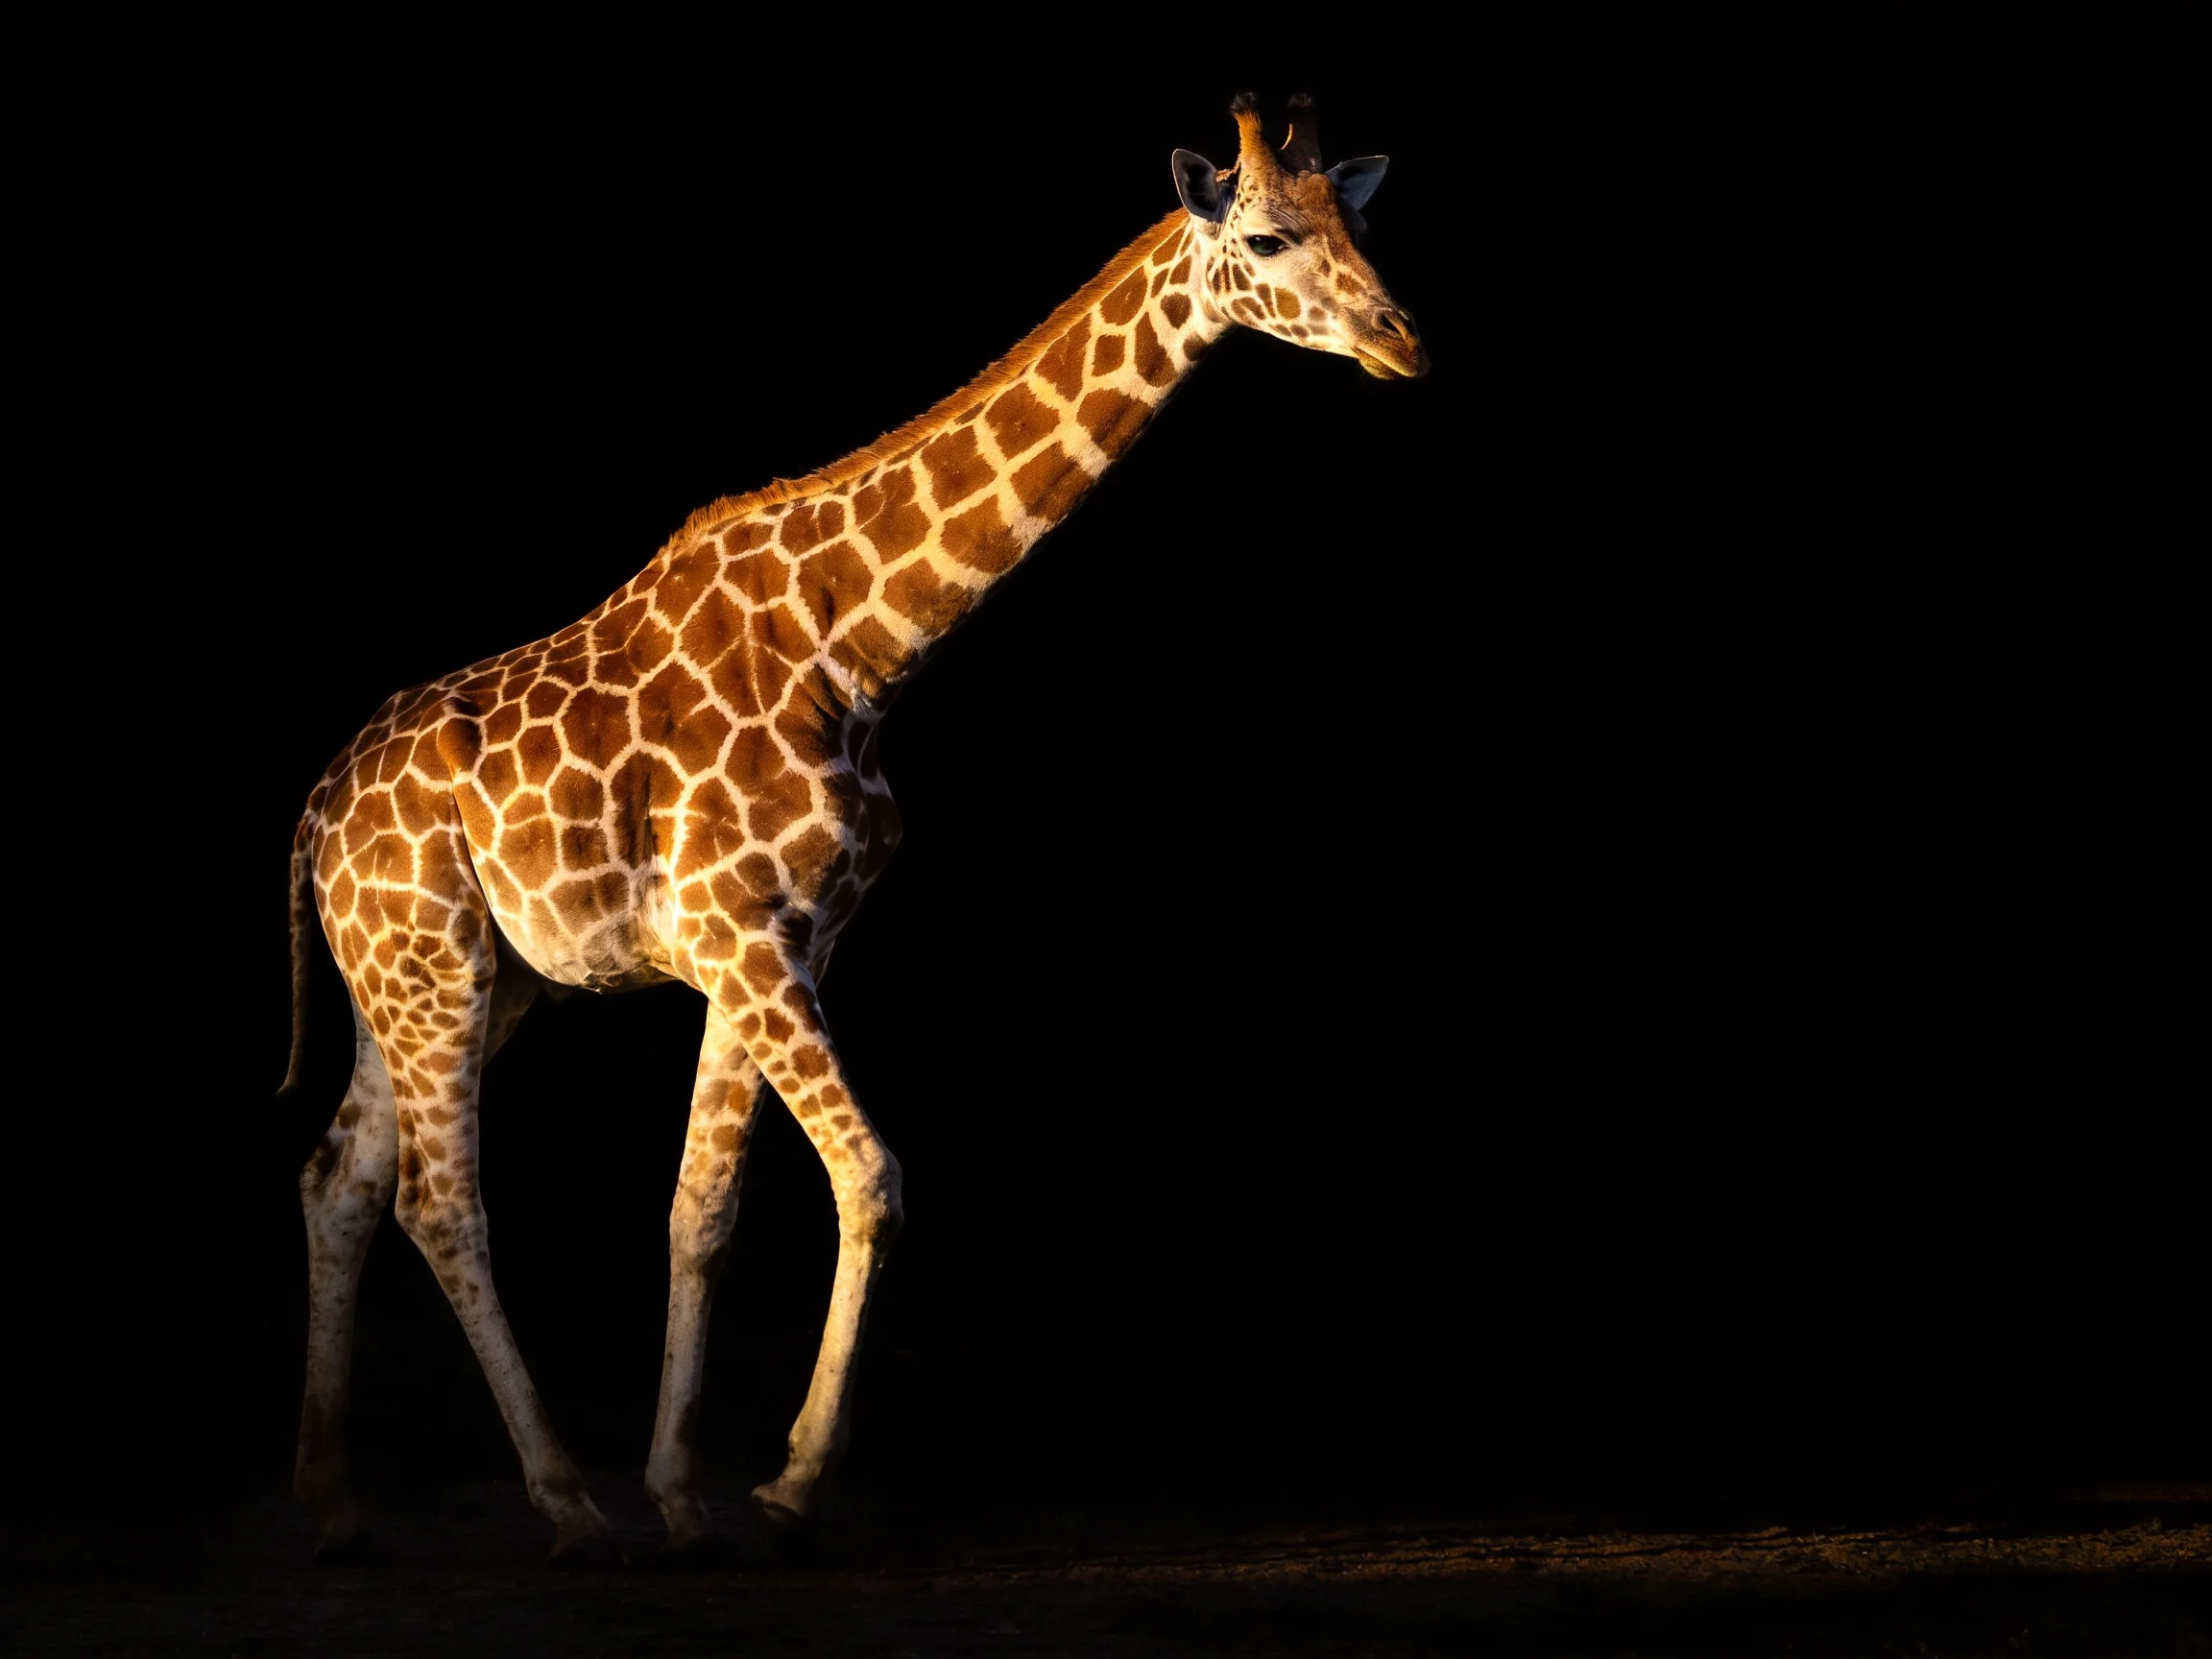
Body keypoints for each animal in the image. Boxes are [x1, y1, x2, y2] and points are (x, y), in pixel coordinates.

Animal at [284, 92, 1427, 1563]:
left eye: (1360, 222)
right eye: (1272, 237)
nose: (1402, 339)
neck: (863, 643)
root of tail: (316, 815)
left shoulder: (778, 946)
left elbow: (701, 1209)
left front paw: (685, 1492)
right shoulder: (746, 938)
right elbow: (872, 1175)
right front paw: (784, 1482)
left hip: (454, 981)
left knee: (342, 1175)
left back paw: (332, 1496)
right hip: (434, 969)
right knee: (440, 1200)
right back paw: (558, 1496)